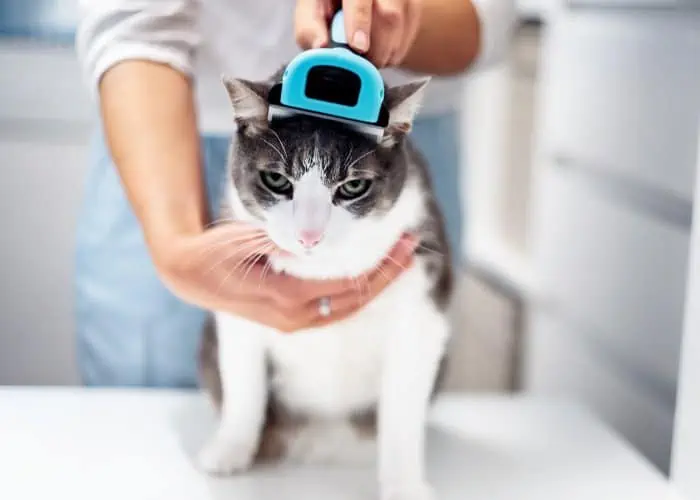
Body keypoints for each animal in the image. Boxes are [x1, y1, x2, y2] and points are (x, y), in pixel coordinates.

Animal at [197, 68, 456, 500]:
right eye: (276, 179)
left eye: (352, 187)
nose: (309, 236)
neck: (324, 269)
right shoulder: (240, 302)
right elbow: (244, 386)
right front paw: (228, 452)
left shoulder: (421, 303)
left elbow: (402, 411)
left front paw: (404, 484)